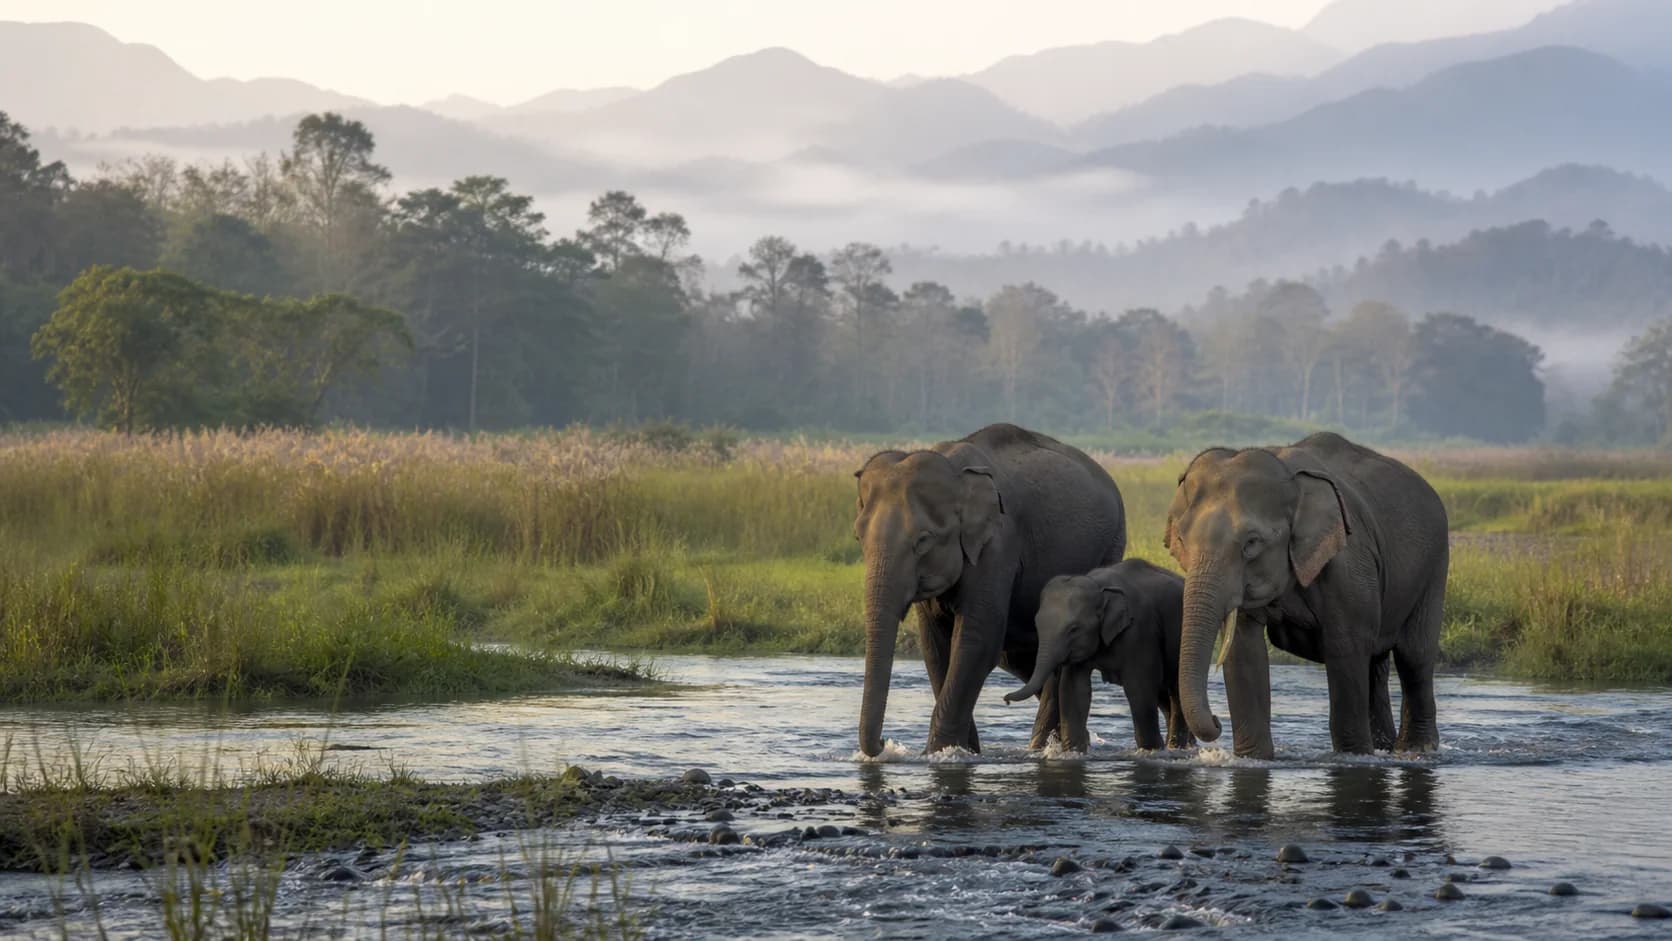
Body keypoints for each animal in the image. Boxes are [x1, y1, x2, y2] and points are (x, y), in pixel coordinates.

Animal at [852, 423, 1128, 758]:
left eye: (923, 541)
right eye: (858, 537)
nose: (884, 743)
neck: (952, 467)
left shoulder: (998, 545)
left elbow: (976, 639)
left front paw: (941, 753)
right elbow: (935, 648)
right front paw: (963, 750)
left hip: (1110, 546)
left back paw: (1047, 748)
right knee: (1019, 654)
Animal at [1003, 559, 1194, 753]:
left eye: (1074, 629)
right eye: (1037, 625)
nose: (1006, 700)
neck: (1098, 586)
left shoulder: (1140, 630)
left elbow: (1139, 687)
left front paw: (1150, 750)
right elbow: (1074, 688)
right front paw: (1074, 752)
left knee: (1176, 692)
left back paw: (1176, 747)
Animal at [1163, 432, 1447, 758]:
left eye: (1251, 543)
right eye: (1181, 540)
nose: (1216, 720)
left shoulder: (1348, 564)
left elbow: (1345, 647)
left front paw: (1353, 756)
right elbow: (1244, 651)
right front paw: (1254, 758)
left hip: (1434, 567)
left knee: (1414, 656)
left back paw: (1416, 749)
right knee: (1377, 664)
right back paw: (1385, 747)